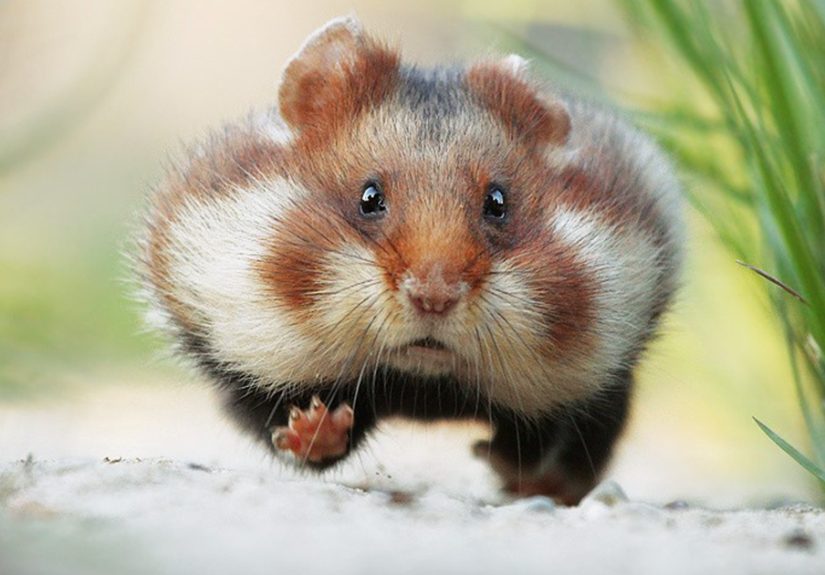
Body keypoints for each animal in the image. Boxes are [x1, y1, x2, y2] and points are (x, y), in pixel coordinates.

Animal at [136, 16, 682, 505]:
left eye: (498, 202)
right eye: (369, 197)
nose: (434, 296)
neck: (422, 381)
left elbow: (550, 434)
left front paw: (492, 455)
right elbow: (296, 435)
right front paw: (315, 424)